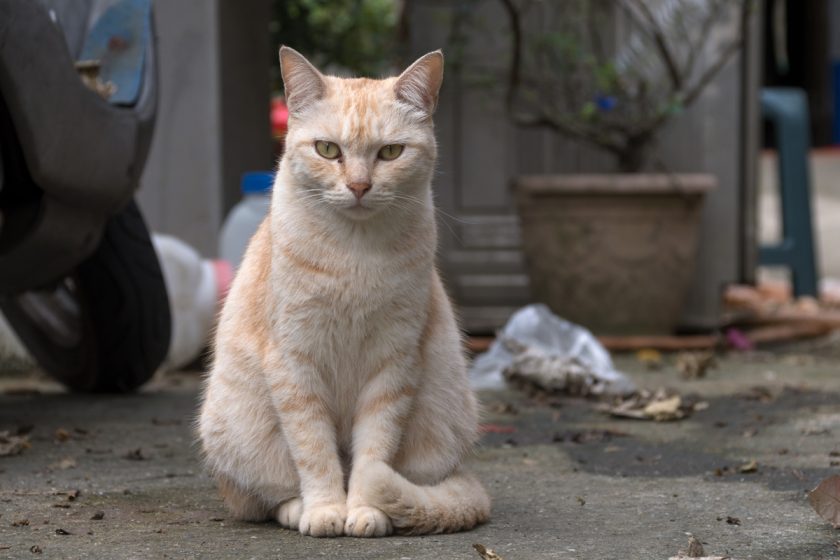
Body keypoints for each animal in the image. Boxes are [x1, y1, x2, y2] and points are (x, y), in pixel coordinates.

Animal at [199, 48, 488, 540]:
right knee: (263, 498)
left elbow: (374, 451)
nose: (358, 186)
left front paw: (365, 510)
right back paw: (297, 509)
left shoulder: (393, 363)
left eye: (390, 152)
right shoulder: (294, 363)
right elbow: (314, 450)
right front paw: (325, 510)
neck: (355, 255)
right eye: (328, 149)